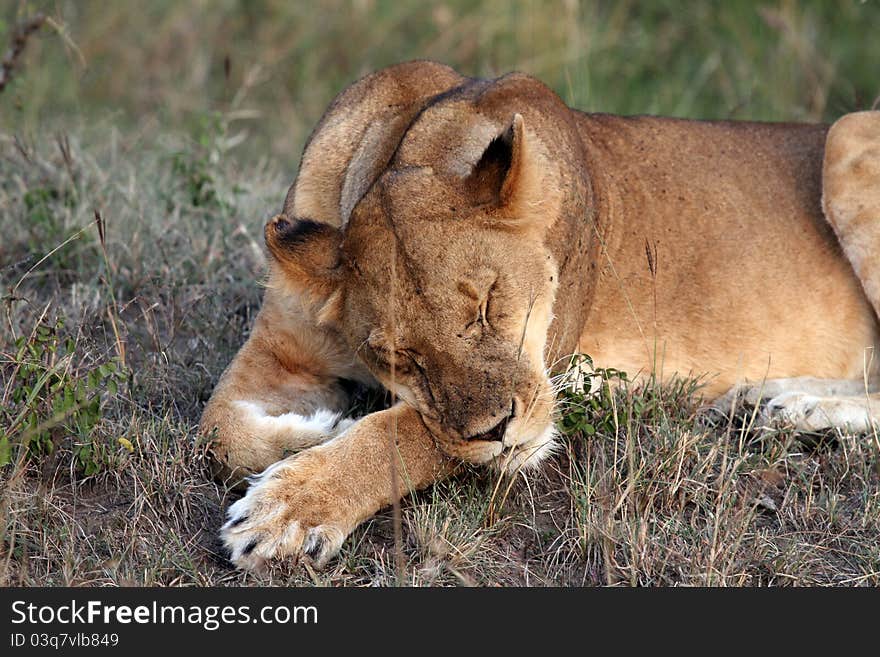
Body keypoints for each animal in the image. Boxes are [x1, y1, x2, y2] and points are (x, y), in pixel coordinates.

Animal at [198, 59, 880, 568]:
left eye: (489, 304)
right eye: (399, 356)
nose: (499, 432)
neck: (404, 148)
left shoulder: (554, 369)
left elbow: (405, 434)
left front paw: (290, 508)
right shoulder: (280, 349)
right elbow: (218, 432)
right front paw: (316, 429)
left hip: (848, 132)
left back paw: (802, 408)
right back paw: (774, 402)